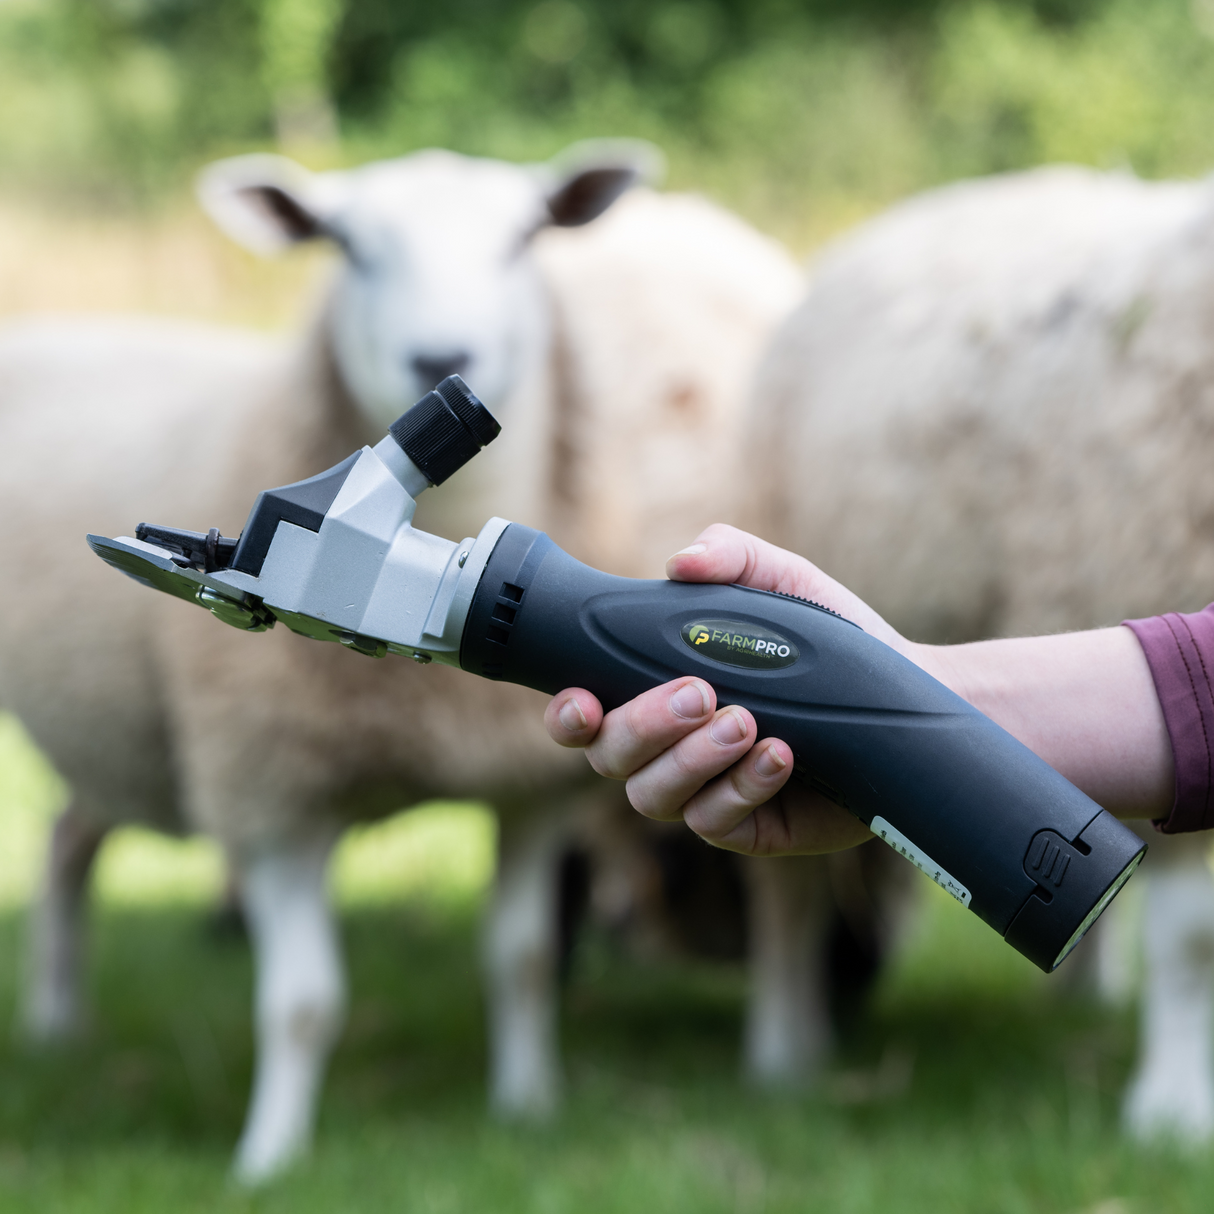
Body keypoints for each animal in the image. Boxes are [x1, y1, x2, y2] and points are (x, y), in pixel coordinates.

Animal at [0, 141, 805, 1182]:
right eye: (346, 243)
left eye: (523, 237)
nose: (442, 361)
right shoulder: (272, 796)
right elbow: (302, 1003)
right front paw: (269, 1159)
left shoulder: (530, 791)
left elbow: (522, 959)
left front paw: (528, 1109)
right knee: (64, 848)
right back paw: (55, 1023)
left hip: (115, 727)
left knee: (67, 836)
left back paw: (60, 1024)